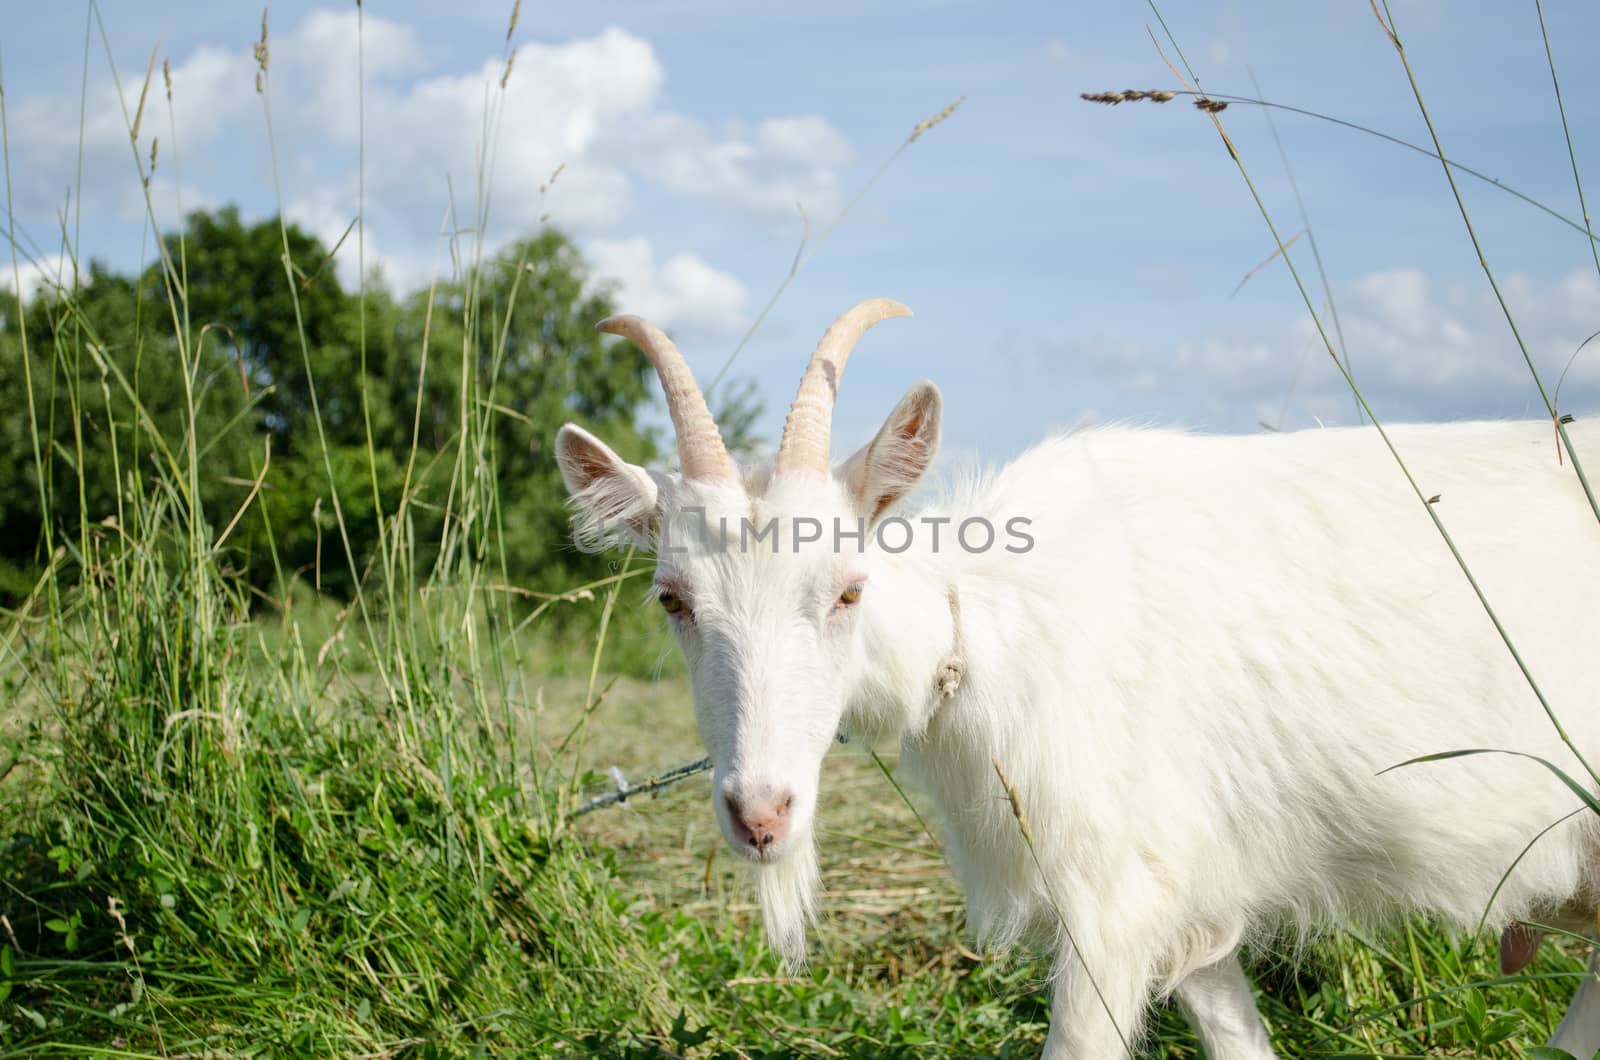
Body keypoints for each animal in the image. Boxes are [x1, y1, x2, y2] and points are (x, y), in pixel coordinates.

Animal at [553, 301, 1600, 1060]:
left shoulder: (1109, 897)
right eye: (672, 600)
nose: (762, 814)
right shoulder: (1182, 886)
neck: (986, 626)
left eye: (847, 588)